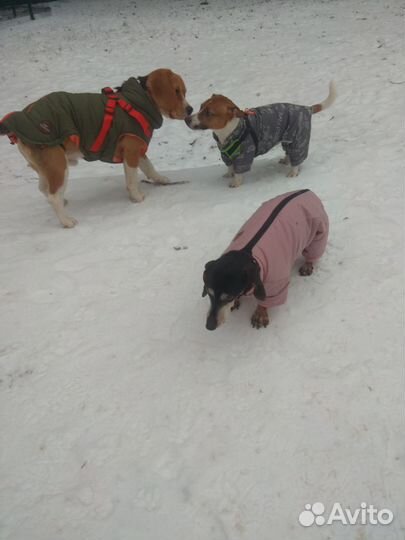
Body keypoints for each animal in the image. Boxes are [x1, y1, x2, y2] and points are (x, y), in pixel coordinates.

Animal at [0, 68, 193, 228]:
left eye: (184, 92)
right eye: (176, 91)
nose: (190, 109)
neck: (137, 101)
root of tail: (22, 116)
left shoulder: (138, 149)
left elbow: (149, 167)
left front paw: (160, 179)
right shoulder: (131, 151)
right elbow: (132, 180)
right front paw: (137, 197)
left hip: (45, 168)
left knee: (44, 190)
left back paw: (63, 203)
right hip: (58, 165)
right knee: (53, 196)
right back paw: (66, 221)